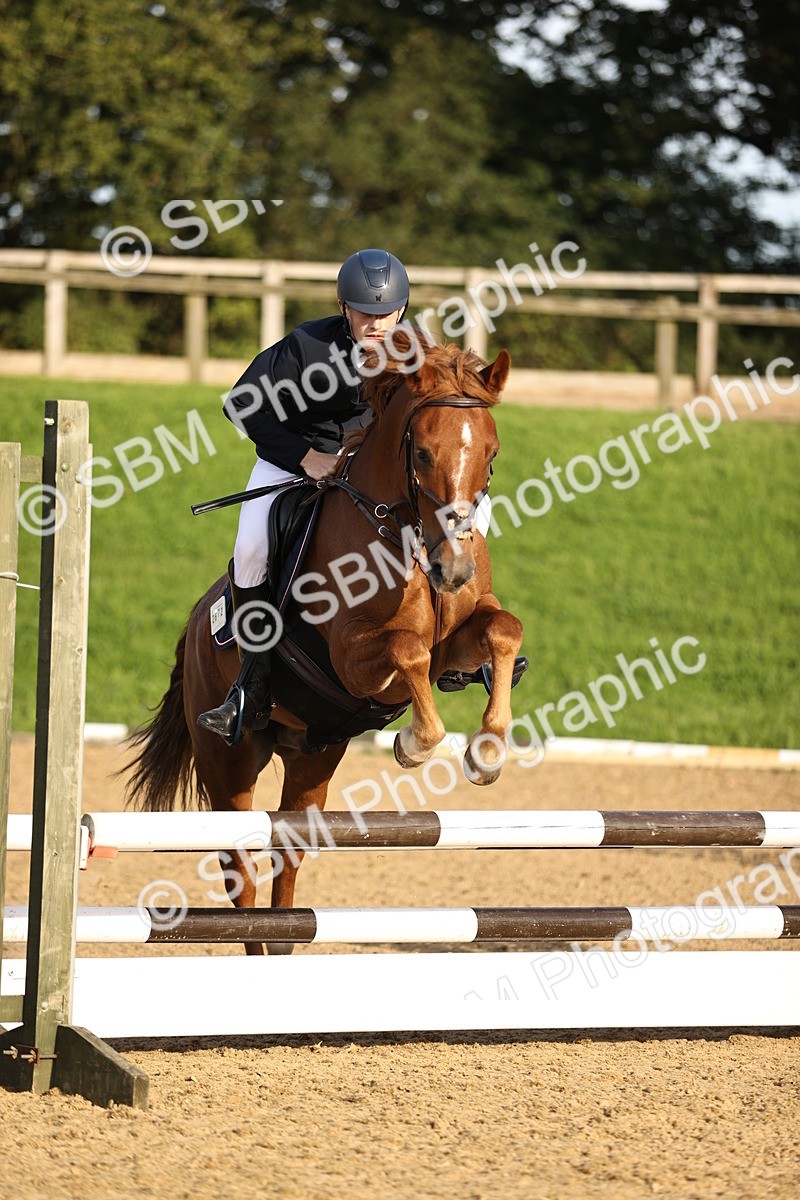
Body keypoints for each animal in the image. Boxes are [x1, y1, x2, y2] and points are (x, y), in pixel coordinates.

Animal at [124, 334, 524, 954]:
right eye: (422, 454)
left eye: (493, 454)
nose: (453, 570)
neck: (407, 535)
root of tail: (194, 624)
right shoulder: (354, 661)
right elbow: (407, 651)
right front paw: (416, 745)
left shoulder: (457, 642)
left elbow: (503, 630)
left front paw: (486, 751)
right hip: (228, 763)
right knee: (239, 867)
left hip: (313, 757)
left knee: (286, 854)